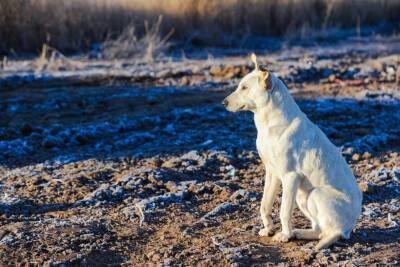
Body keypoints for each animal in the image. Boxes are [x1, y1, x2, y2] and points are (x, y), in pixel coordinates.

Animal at [222, 54, 362, 251]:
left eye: (244, 87)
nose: (223, 103)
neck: (269, 123)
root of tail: (350, 224)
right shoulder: (272, 173)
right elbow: (264, 205)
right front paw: (269, 230)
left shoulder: (290, 176)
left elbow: (284, 211)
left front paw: (284, 236)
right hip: (303, 196)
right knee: (320, 229)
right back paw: (302, 233)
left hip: (315, 193)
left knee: (333, 233)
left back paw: (313, 242)